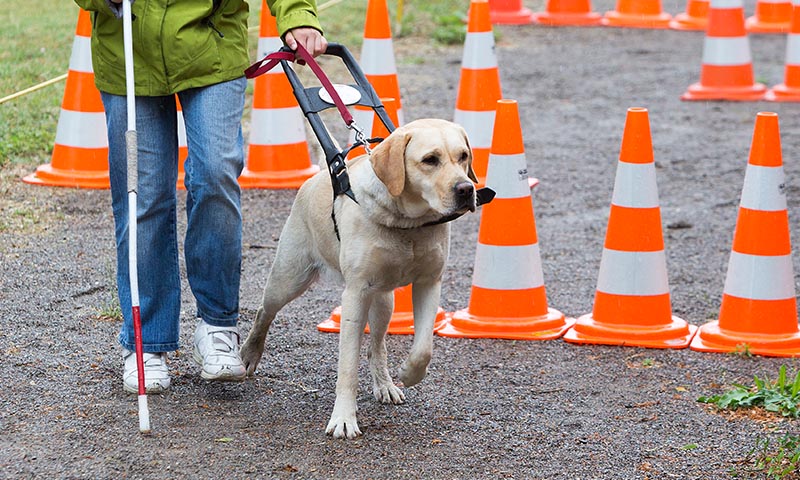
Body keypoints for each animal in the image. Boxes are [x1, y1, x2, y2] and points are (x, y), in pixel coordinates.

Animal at [241, 117, 478, 438]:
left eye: (463, 156)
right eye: (430, 160)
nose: (466, 189)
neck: (408, 223)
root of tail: (318, 176)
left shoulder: (429, 283)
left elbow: (423, 349)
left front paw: (409, 373)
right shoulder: (355, 295)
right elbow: (348, 366)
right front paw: (343, 418)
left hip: (384, 301)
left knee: (376, 346)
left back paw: (385, 384)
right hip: (288, 279)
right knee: (264, 312)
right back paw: (250, 353)